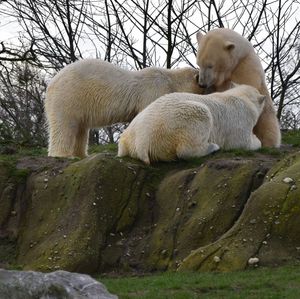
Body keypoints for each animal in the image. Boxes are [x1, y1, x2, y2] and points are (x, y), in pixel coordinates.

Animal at [45, 59, 204, 161]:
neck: (171, 79)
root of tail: (51, 84)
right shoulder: (154, 90)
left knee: (80, 128)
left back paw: (82, 155)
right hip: (70, 96)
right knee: (65, 125)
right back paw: (64, 155)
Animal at [117, 84, 264, 165]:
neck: (242, 97)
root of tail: (141, 141)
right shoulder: (240, 118)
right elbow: (241, 142)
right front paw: (256, 139)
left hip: (129, 137)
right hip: (180, 120)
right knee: (186, 147)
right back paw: (212, 147)